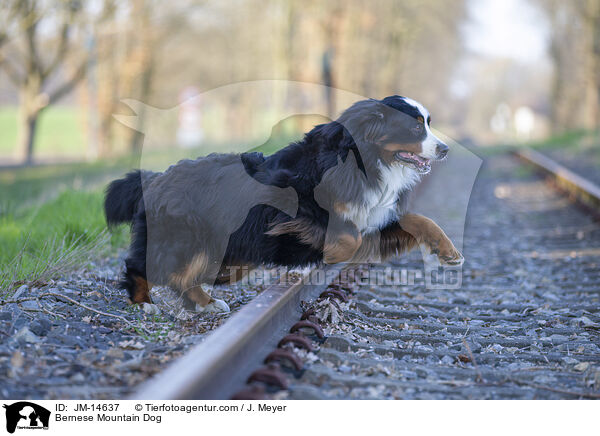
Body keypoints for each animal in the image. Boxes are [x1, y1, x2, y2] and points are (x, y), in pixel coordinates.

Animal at [104, 96, 464, 314]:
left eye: (428, 123)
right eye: (415, 126)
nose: (446, 149)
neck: (366, 162)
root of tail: (155, 178)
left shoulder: (372, 217)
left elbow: (418, 220)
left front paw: (448, 251)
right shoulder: (295, 206)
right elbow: (348, 238)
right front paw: (321, 253)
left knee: (185, 277)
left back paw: (209, 299)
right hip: (183, 238)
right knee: (144, 266)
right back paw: (145, 303)